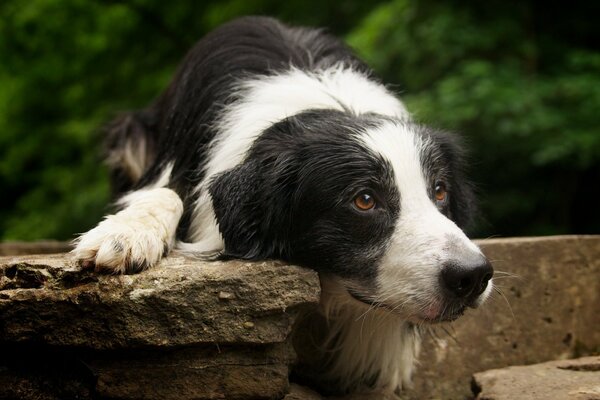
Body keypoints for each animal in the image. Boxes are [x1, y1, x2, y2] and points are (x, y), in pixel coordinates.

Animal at [71, 16, 492, 394]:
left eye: (440, 191)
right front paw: (124, 236)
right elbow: (164, 192)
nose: (473, 276)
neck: (330, 108)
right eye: (364, 200)